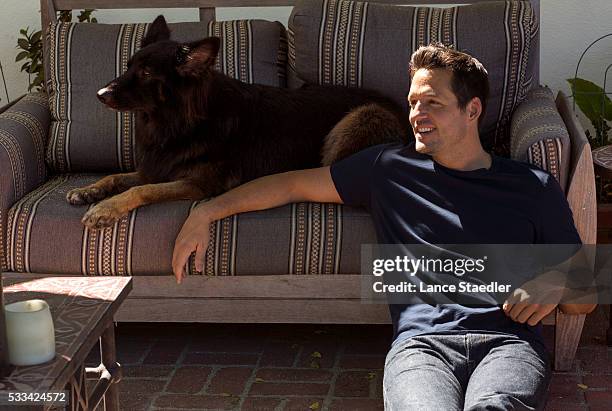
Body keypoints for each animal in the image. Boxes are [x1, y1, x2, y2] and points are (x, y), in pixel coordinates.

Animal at [67, 16, 406, 229]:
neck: (180, 121)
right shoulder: (157, 167)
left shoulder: (198, 184)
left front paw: (105, 208)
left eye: (147, 73)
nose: (99, 94)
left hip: (362, 115)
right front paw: (89, 190)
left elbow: (141, 190)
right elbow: (116, 177)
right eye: (128, 66)